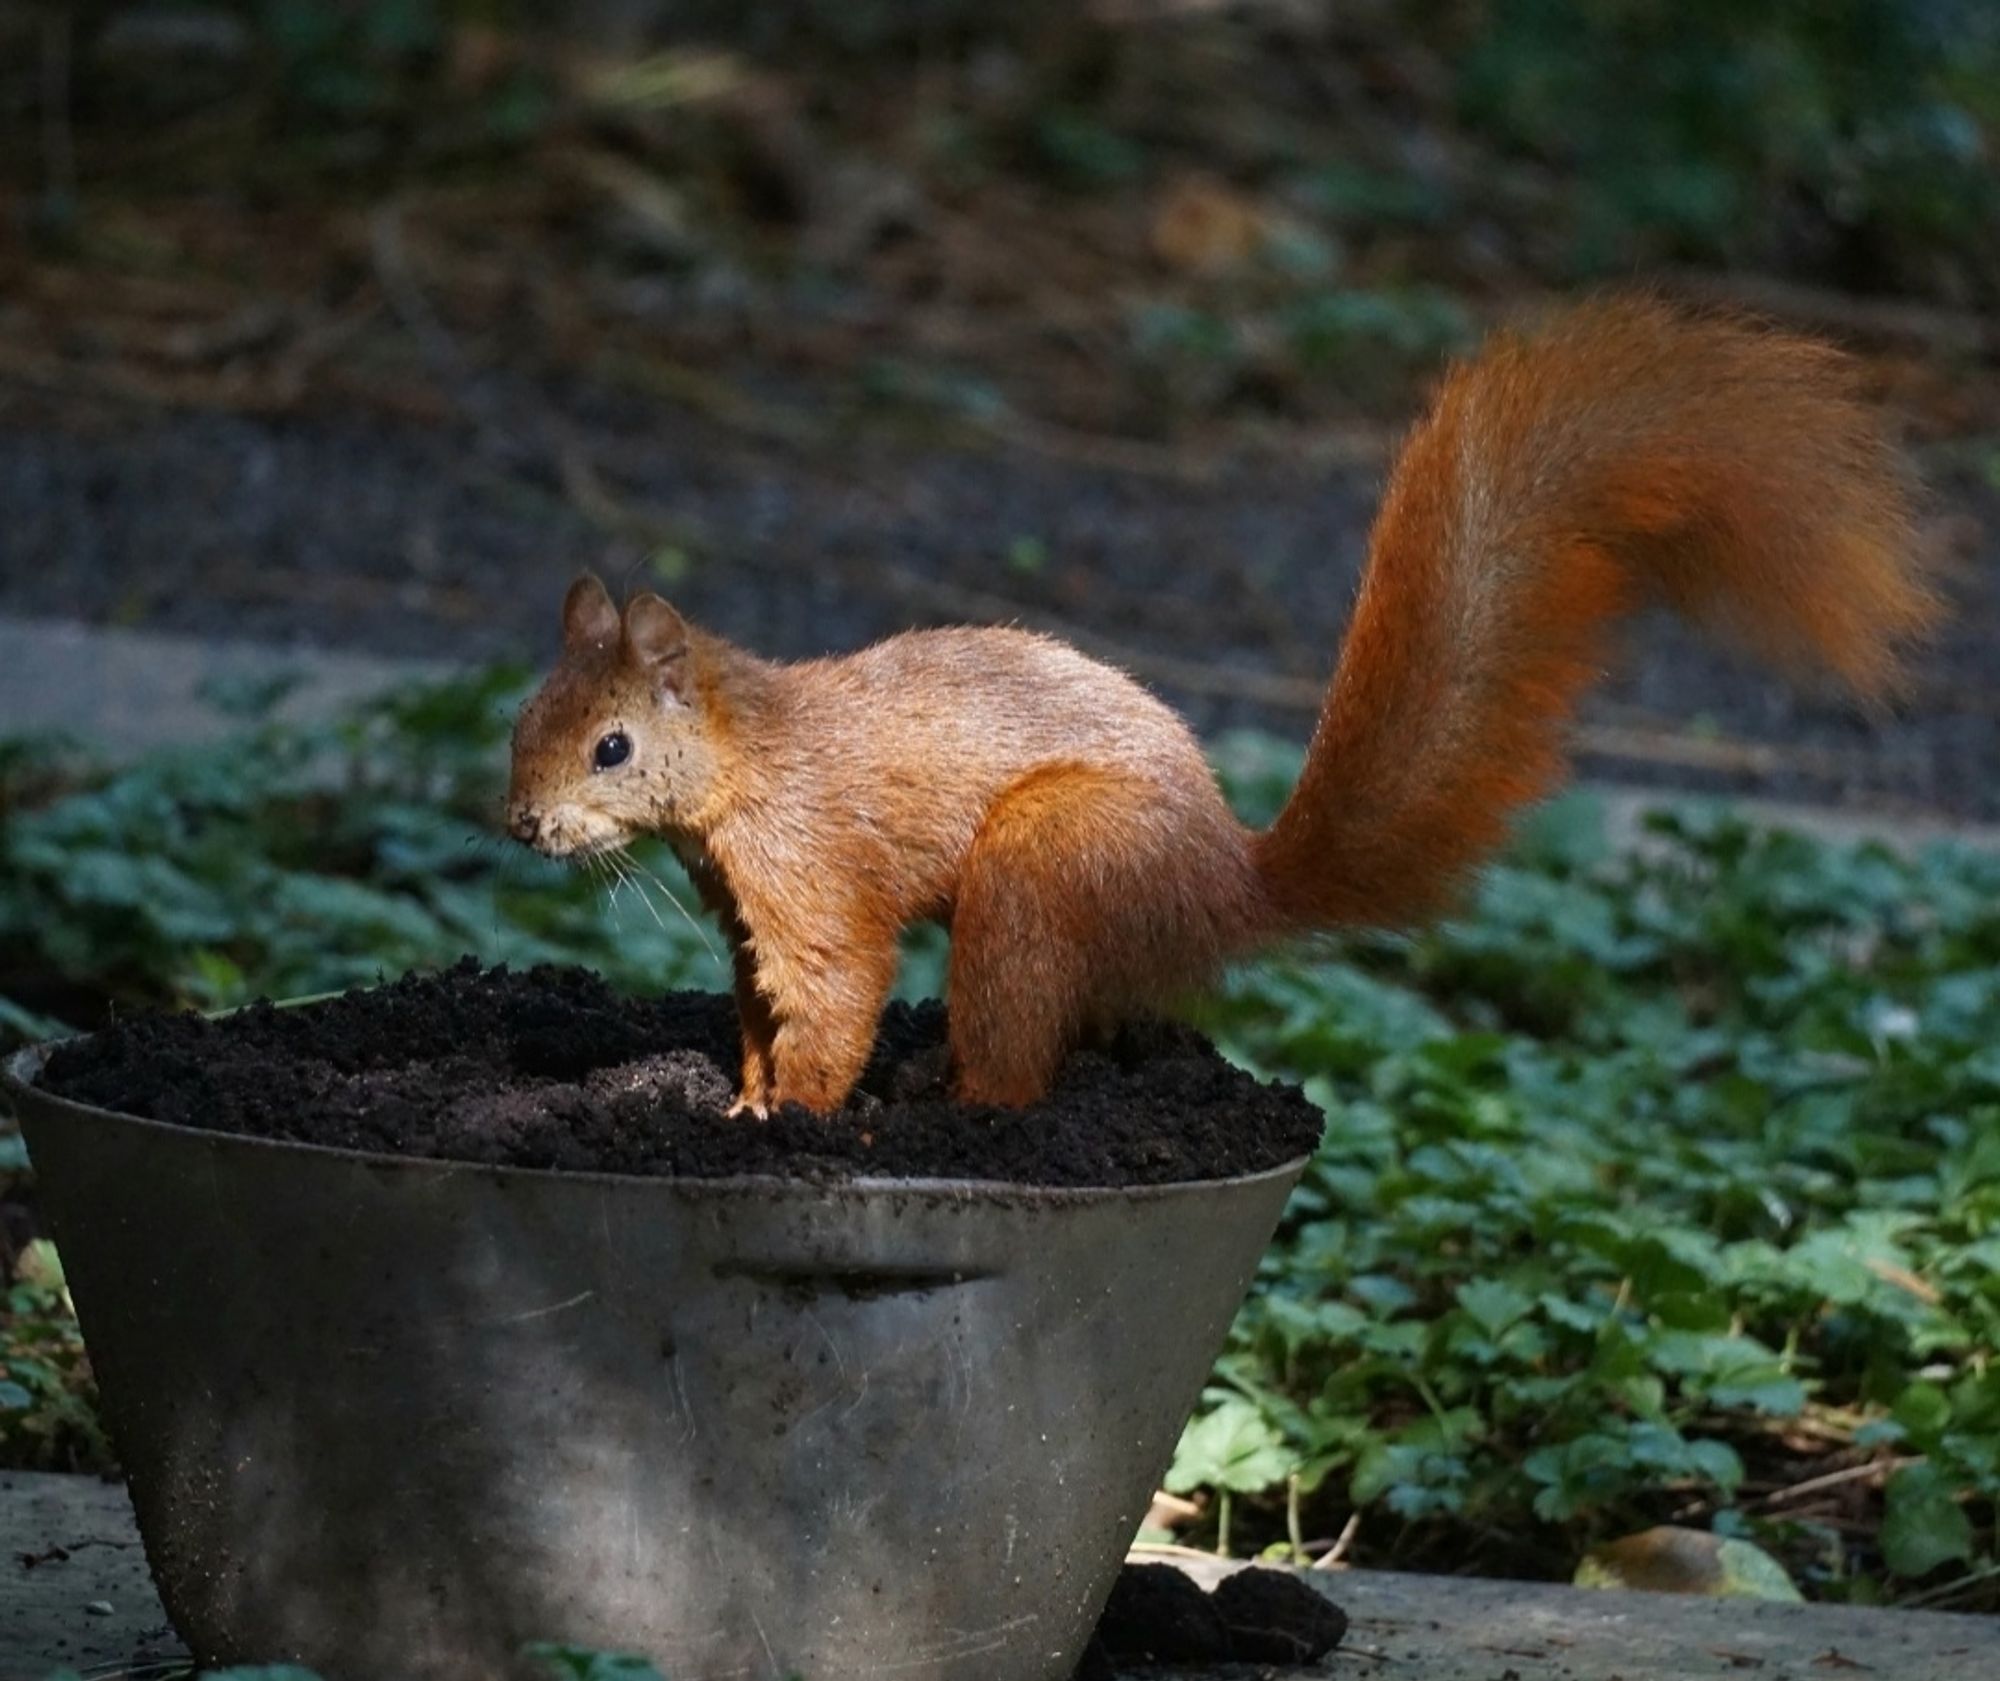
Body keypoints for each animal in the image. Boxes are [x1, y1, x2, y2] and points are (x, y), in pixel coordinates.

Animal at [512, 302, 1936, 1112]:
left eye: (612, 746)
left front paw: (791, 1122)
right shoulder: (743, 910)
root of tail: (1222, 883)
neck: (745, 758)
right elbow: (759, 1015)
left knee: (1021, 1058)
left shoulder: (810, 876)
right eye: (523, 718)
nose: (523, 825)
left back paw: (958, 1096)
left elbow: (829, 999)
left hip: (1046, 864)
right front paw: (736, 1101)